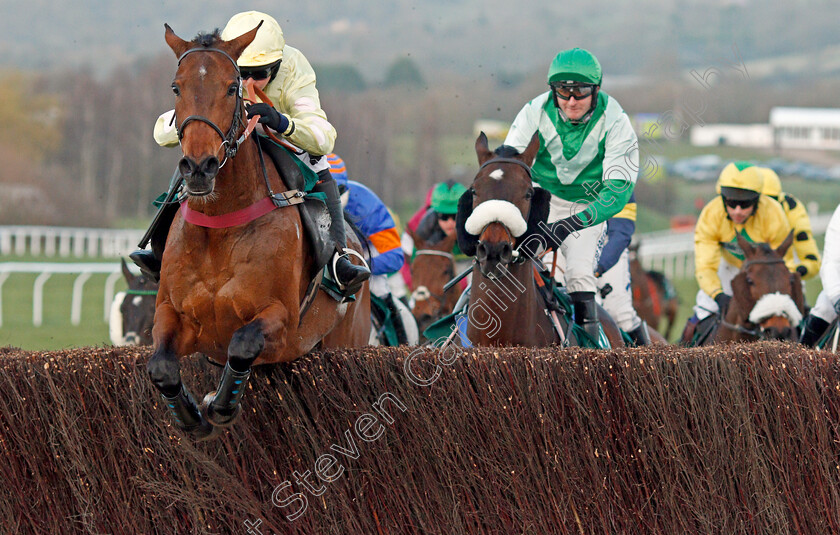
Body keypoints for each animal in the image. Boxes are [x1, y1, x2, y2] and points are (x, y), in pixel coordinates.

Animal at [148, 25, 370, 440]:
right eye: (175, 87)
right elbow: (161, 366)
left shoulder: (280, 321)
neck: (220, 226)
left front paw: (219, 405)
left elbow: (242, 344)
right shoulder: (173, 312)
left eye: (232, 87)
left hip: (344, 337)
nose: (199, 167)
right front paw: (190, 416)